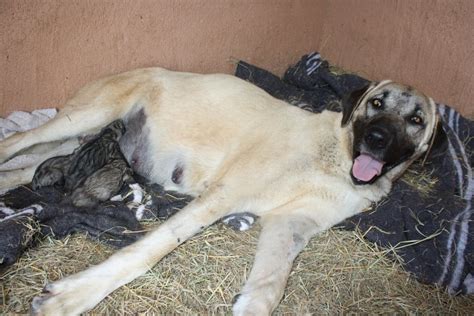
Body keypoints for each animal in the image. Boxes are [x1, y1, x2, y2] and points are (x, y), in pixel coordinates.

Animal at [0, 68, 440, 314]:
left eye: (416, 119)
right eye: (376, 103)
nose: (378, 140)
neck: (335, 157)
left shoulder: (291, 224)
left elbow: (272, 285)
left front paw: (250, 306)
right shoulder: (224, 194)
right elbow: (148, 250)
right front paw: (73, 296)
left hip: (75, 140)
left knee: (24, 168)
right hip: (88, 115)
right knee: (16, 141)